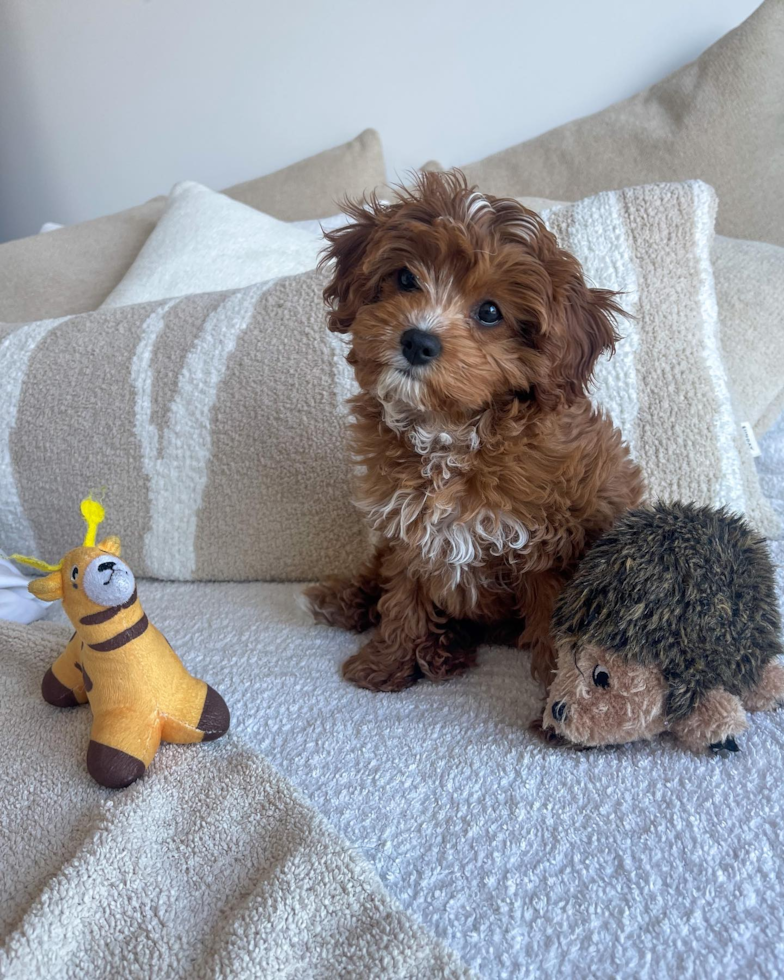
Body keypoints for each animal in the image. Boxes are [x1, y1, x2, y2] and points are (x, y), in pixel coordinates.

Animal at [304, 170, 644, 688]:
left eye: (489, 312)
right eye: (406, 278)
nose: (417, 340)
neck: (450, 431)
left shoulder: (546, 543)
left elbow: (552, 621)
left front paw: (558, 694)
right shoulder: (408, 529)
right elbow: (402, 598)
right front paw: (384, 665)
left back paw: (443, 651)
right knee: (377, 576)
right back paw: (348, 605)